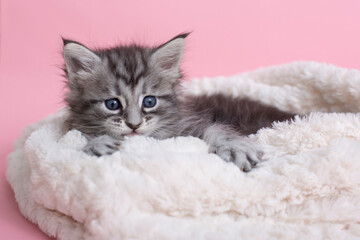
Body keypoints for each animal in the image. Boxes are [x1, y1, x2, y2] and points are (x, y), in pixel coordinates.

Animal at [62, 34, 296, 172]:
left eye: (149, 101)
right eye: (112, 104)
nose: (134, 125)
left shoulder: (191, 125)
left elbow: (216, 129)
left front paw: (234, 146)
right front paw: (97, 143)